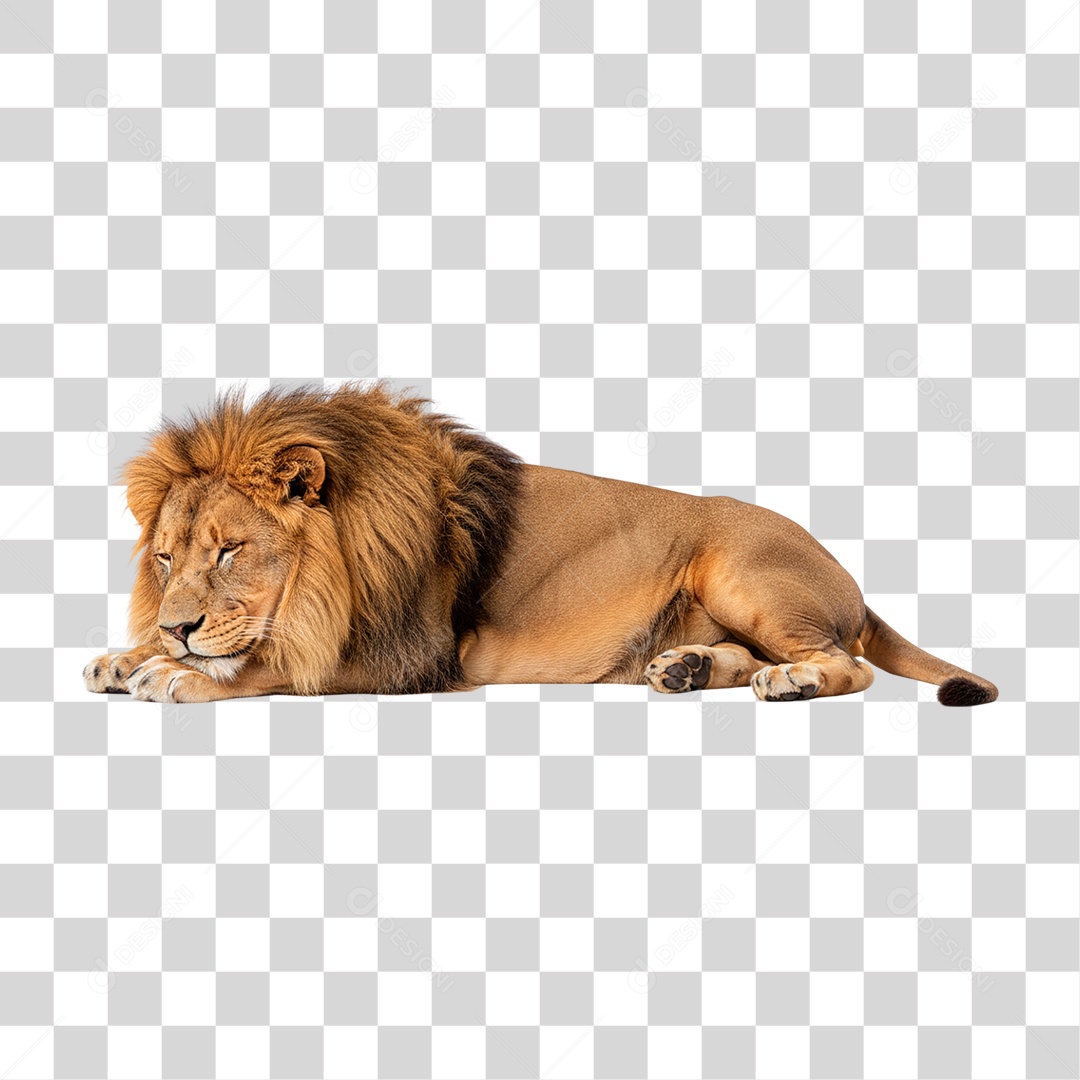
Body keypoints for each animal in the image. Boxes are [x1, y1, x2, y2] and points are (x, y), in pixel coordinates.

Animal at [84, 383, 998, 707]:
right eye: (164, 558)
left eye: (230, 551)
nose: (174, 627)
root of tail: (849, 576)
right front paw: (129, 656)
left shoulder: (413, 655)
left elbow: (278, 663)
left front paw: (172, 672)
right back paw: (689, 669)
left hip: (741, 571)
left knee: (850, 663)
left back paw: (795, 680)